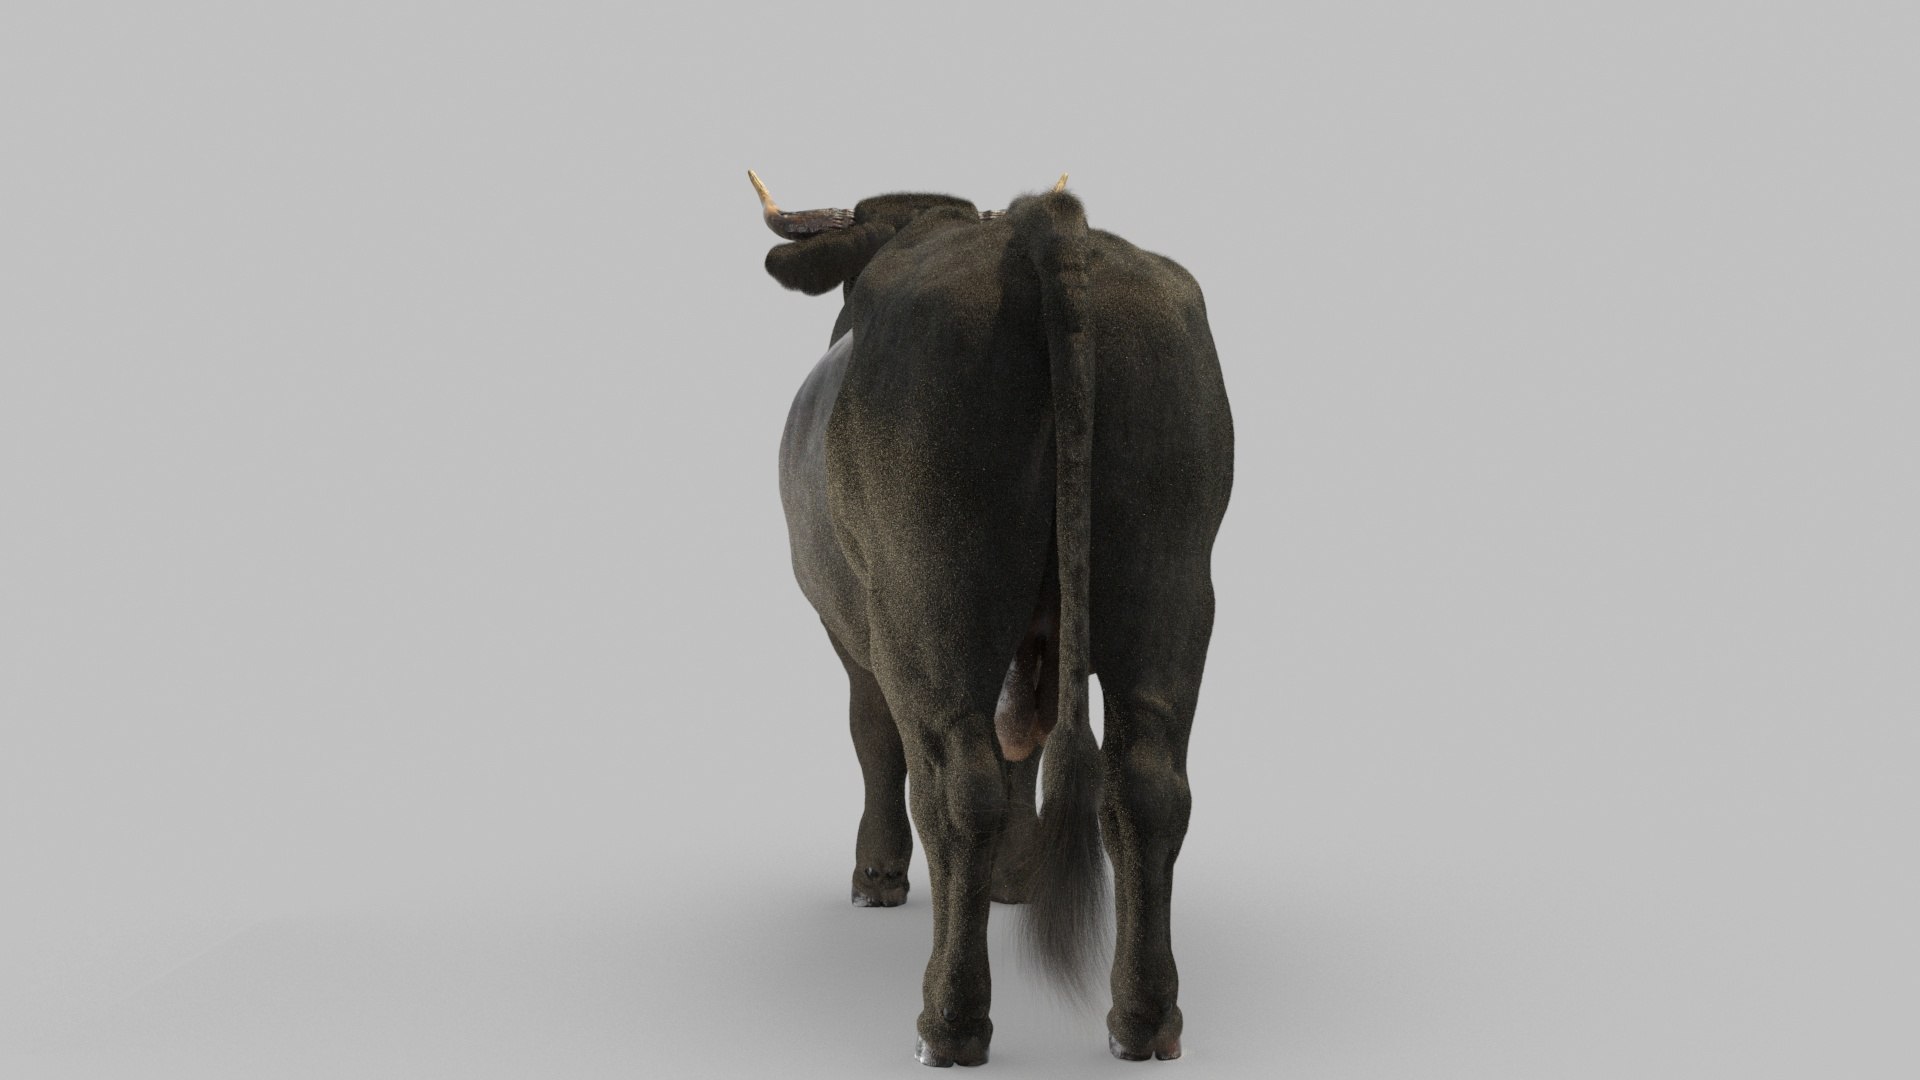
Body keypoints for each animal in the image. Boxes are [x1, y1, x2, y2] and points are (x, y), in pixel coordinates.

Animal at [756, 171, 1233, 1066]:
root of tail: (1034, 225)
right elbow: (1027, 740)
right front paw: (1019, 878)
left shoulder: (855, 638)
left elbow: (875, 741)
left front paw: (877, 877)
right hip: (1174, 580)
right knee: (1149, 783)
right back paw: (1145, 1017)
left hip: (926, 597)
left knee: (955, 788)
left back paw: (949, 1020)